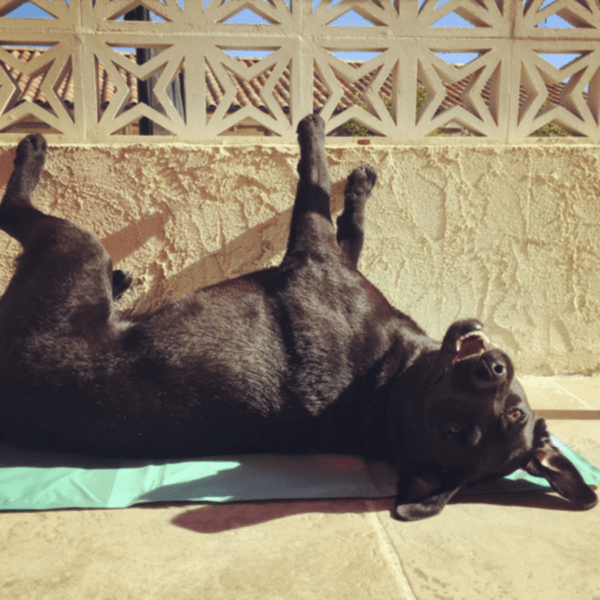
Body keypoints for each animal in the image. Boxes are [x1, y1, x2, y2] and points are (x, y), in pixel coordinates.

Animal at [0, 113, 596, 520]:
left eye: (455, 429)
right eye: (516, 412)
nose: (492, 370)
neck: (387, 382)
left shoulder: (313, 253)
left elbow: (312, 182)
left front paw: (315, 133)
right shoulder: (335, 257)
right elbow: (346, 221)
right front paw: (357, 184)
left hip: (76, 251)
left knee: (13, 213)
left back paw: (31, 152)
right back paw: (118, 277)